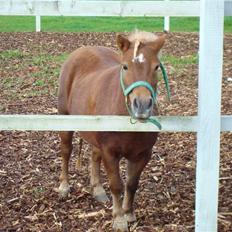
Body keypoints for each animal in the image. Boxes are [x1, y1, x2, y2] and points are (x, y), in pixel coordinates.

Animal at [57, 30, 167, 230]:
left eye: (156, 67)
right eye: (125, 67)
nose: (142, 105)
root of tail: (82, 50)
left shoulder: (143, 154)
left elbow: (131, 184)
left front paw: (129, 213)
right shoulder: (110, 153)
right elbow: (116, 185)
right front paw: (119, 219)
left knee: (94, 156)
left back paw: (97, 189)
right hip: (64, 118)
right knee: (66, 151)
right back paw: (64, 187)